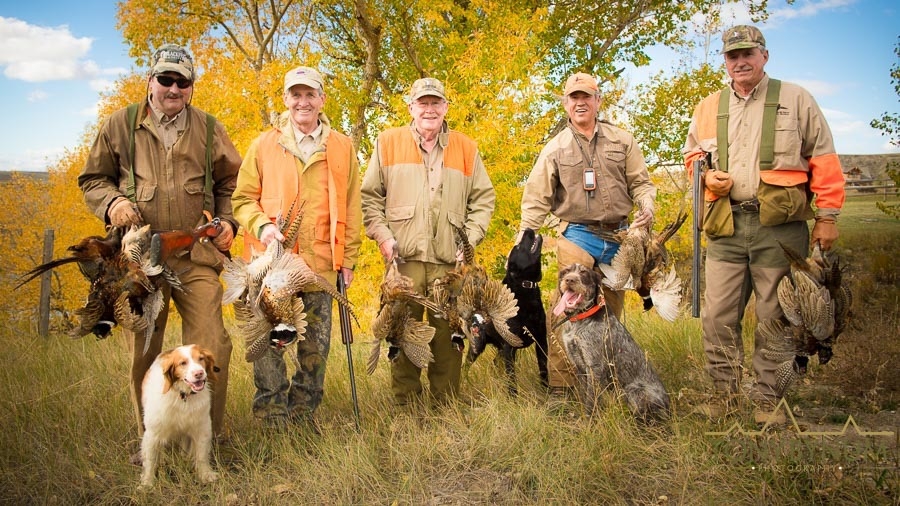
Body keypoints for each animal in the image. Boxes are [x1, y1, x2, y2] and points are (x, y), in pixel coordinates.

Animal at [141, 344, 218, 486]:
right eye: (182, 363)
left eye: (201, 358)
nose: (199, 373)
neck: (183, 396)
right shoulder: (152, 434)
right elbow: (150, 460)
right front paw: (147, 483)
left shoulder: (202, 428)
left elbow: (202, 455)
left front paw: (205, 475)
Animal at [472, 227, 548, 394]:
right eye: (518, 247)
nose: (528, 229)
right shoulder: (509, 347)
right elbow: (512, 378)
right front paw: (513, 396)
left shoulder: (541, 341)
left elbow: (544, 369)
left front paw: (546, 392)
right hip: (477, 346)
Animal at [552, 262, 672, 422]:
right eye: (566, 271)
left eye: (584, 273)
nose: (569, 280)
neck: (580, 319)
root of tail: (669, 407)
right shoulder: (579, 366)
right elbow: (584, 396)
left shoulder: (594, 367)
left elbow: (590, 400)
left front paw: (588, 421)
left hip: (634, 392)